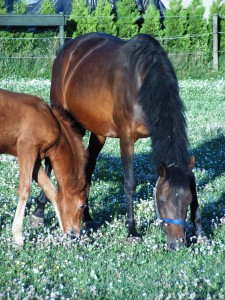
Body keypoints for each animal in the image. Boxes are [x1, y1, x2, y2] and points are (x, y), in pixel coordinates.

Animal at [0, 88, 87, 245]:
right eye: (82, 205)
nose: (75, 234)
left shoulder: (36, 159)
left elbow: (52, 191)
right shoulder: (27, 149)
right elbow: (25, 189)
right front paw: (18, 237)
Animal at [31, 32, 206, 248]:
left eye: (188, 200)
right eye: (162, 200)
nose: (177, 244)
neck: (143, 80)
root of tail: (68, 48)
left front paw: (201, 232)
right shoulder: (127, 138)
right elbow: (130, 183)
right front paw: (132, 230)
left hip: (98, 133)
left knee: (87, 170)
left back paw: (87, 218)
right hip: (68, 120)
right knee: (51, 160)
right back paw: (39, 212)